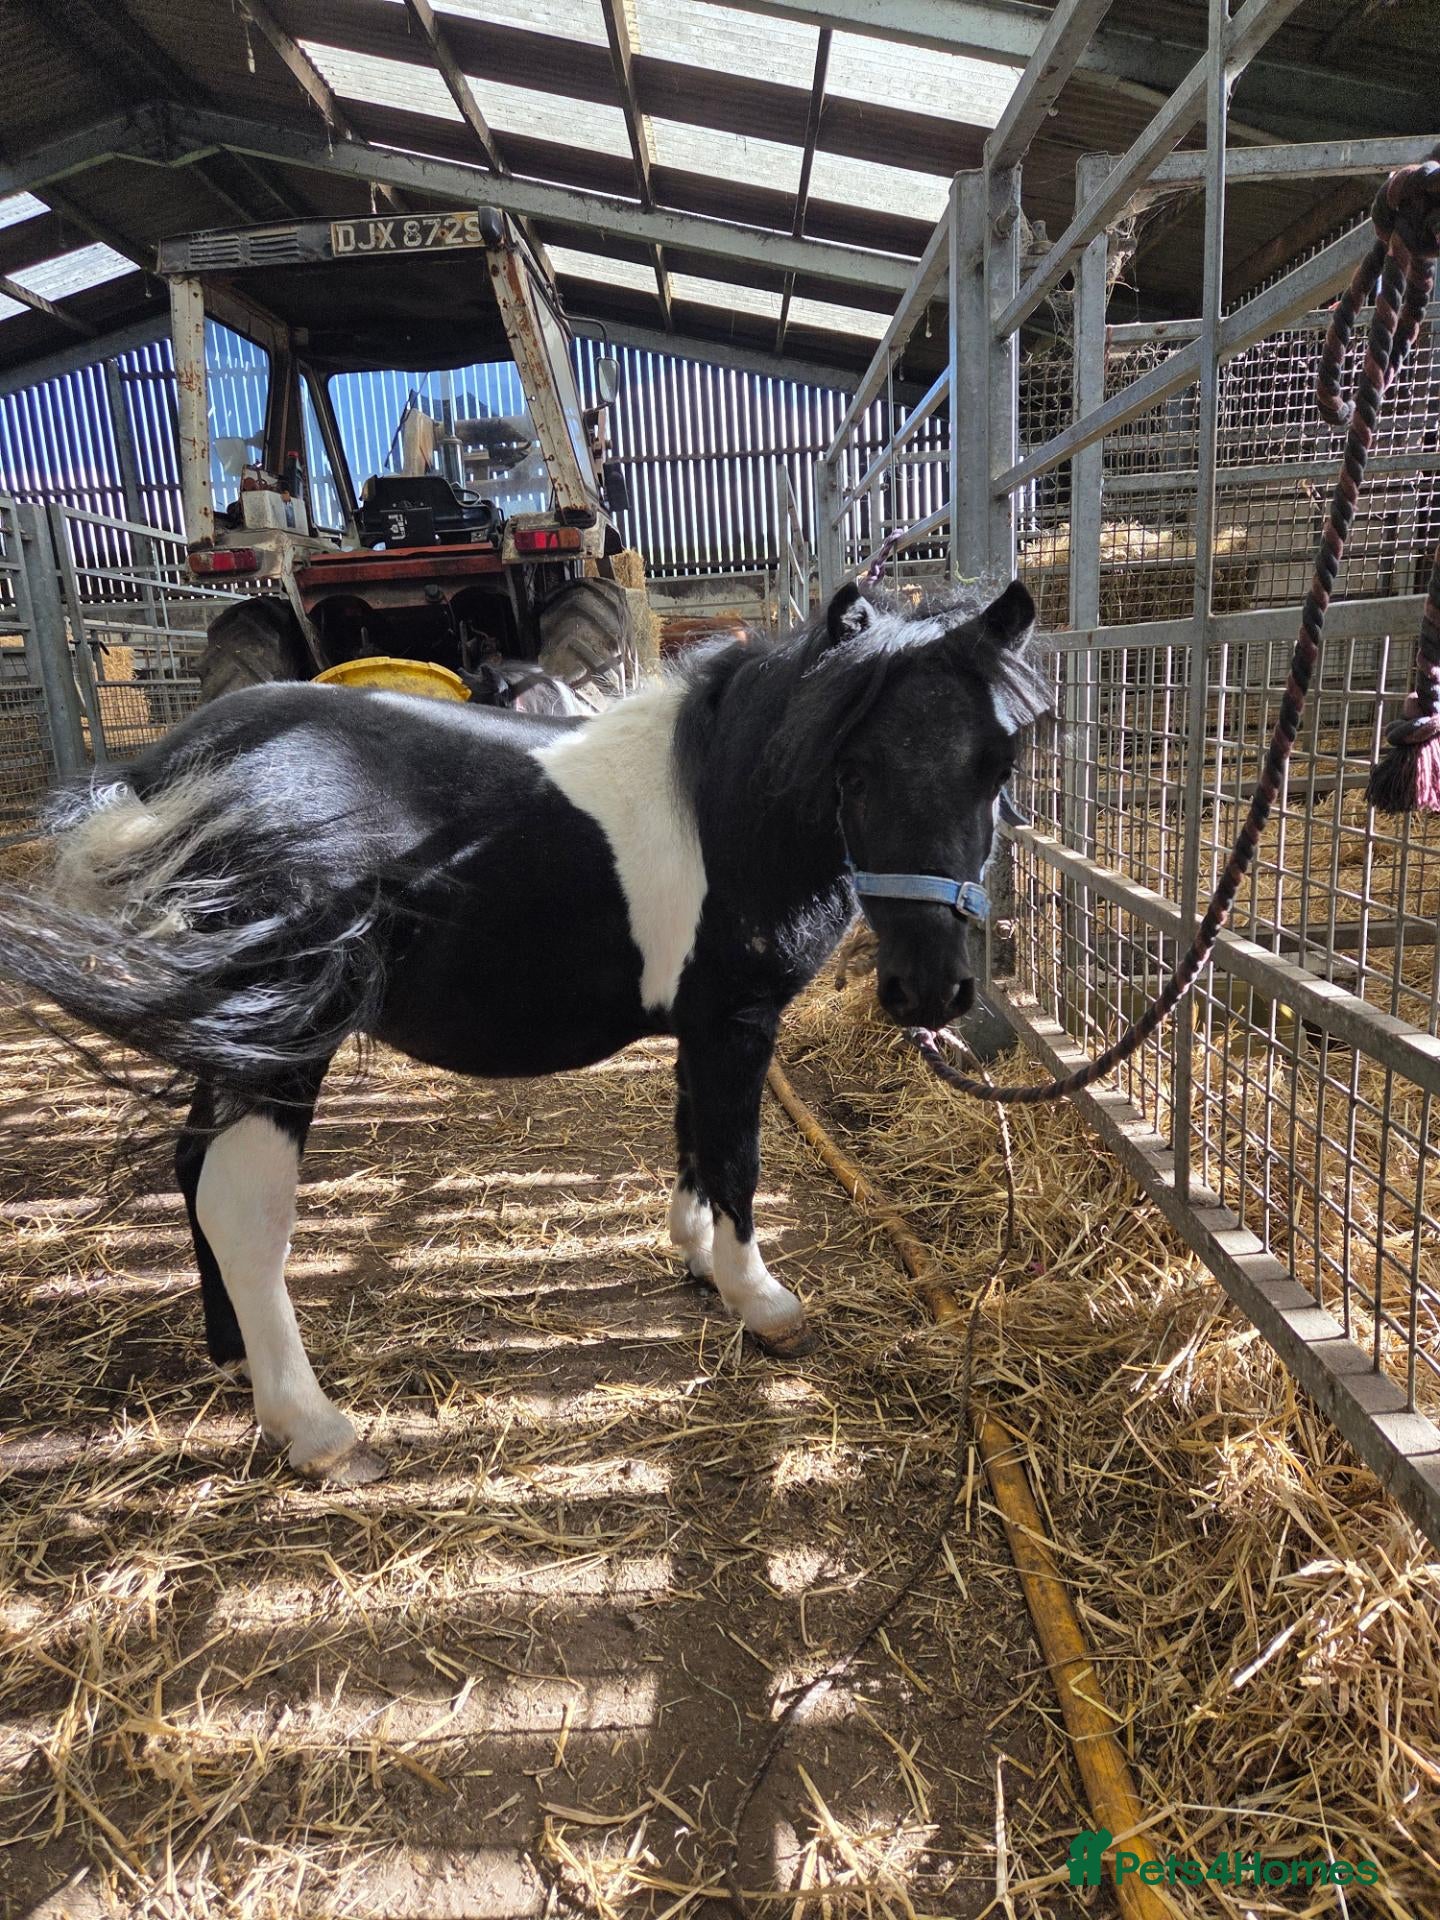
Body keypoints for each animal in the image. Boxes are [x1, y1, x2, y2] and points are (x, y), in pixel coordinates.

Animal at [0, 578, 1049, 1484]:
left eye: (999, 767)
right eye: (854, 769)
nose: (933, 991)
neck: (724, 807)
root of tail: (167, 779)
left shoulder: (699, 1029)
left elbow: (693, 1143)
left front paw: (696, 1259)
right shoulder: (737, 1023)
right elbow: (736, 1160)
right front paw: (760, 1301)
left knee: (192, 1173)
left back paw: (230, 1352)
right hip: (283, 1044)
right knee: (240, 1208)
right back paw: (314, 1427)